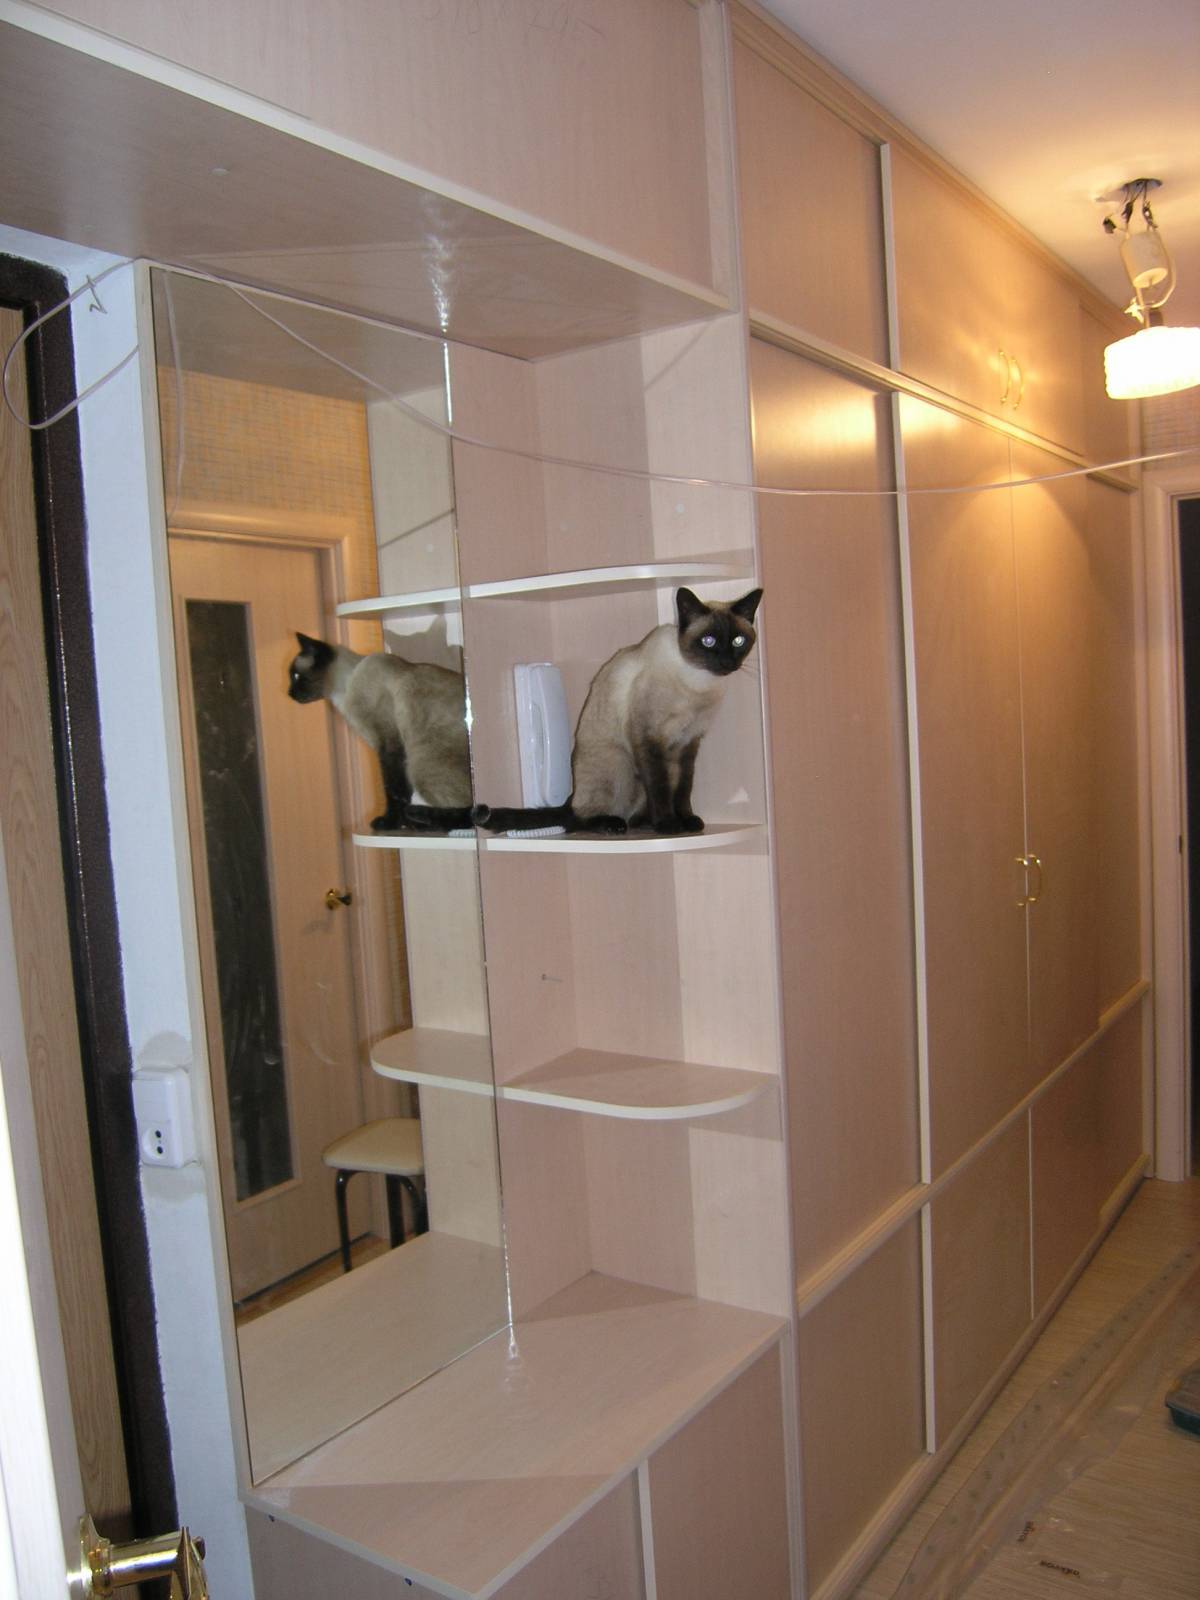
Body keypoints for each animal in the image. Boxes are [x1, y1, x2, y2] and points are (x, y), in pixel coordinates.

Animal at [287, 633, 473, 831]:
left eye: (296, 675)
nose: (289, 693)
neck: (346, 686)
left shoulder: (388, 744)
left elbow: (392, 788)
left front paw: (390, 822)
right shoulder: (385, 747)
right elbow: (401, 790)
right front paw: (401, 823)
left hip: (420, 766)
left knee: (468, 813)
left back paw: (423, 824)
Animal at [476, 586, 762, 836]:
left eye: (738, 641)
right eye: (708, 641)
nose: (727, 662)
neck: (699, 684)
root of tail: (571, 795)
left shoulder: (689, 742)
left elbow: (683, 788)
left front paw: (687, 820)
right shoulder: (649, 739)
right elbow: (660, 787)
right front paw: (669, 825)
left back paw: (643, 822)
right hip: (620, 764)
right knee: (578, 818)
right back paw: (614, 824)